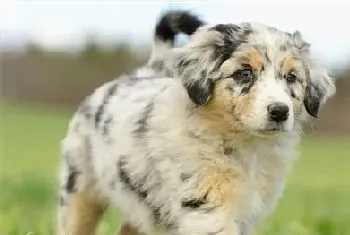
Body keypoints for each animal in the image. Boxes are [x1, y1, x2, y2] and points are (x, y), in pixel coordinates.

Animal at [58, 9, 336, 235]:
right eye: (244, 73)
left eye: (291, 77)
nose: (279, 111)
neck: (245, 147)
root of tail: (144, 72)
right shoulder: (206, 209)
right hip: (78, 190)